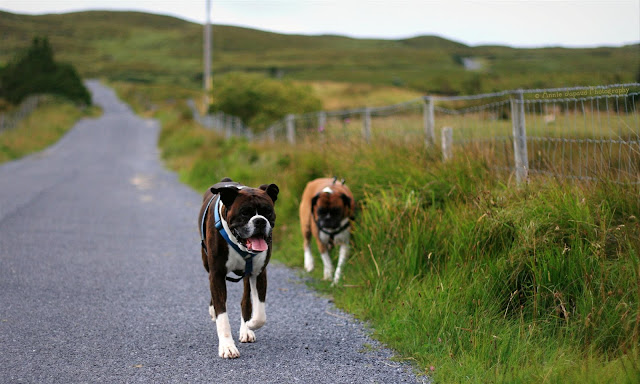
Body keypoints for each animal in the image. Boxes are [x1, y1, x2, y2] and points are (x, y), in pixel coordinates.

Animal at [199, 178, 278, 358]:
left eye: (268, 212)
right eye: (244, 213)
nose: (260, 220)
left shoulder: (259, 273)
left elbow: (260, 314)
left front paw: (250, 325)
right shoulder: (217, 275)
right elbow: (222, 316)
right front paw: (227, 346)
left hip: (247, 275)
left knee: (245, 302)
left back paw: (246, 329)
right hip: (206, 264)